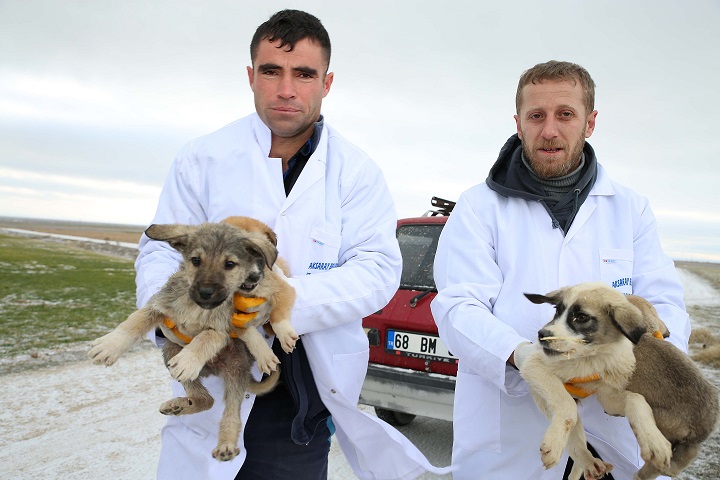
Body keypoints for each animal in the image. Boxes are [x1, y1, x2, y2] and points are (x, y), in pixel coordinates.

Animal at [88, 220, 296, 462]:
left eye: (230, 264)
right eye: (196, 260)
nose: (205, 292)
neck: (196, 307)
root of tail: (214, 369)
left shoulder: (220, 330)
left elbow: (204, 338)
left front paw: (188, 360)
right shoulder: (158, 306)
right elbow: (133, 322)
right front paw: (109, 346)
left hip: (235, 369)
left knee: (230, 413)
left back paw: (226, 443)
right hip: (171, 349)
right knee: (205, 399)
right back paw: (180, 405)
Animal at [520, 282, 716, 480]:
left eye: (581, 317)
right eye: (557, 311)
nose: (542, 335)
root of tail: (703, 426)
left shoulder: (606, 394)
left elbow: (635, 399)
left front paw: (653, 442)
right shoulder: (533, 366)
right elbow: (566, 406)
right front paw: (554, 446)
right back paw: (591, 463)